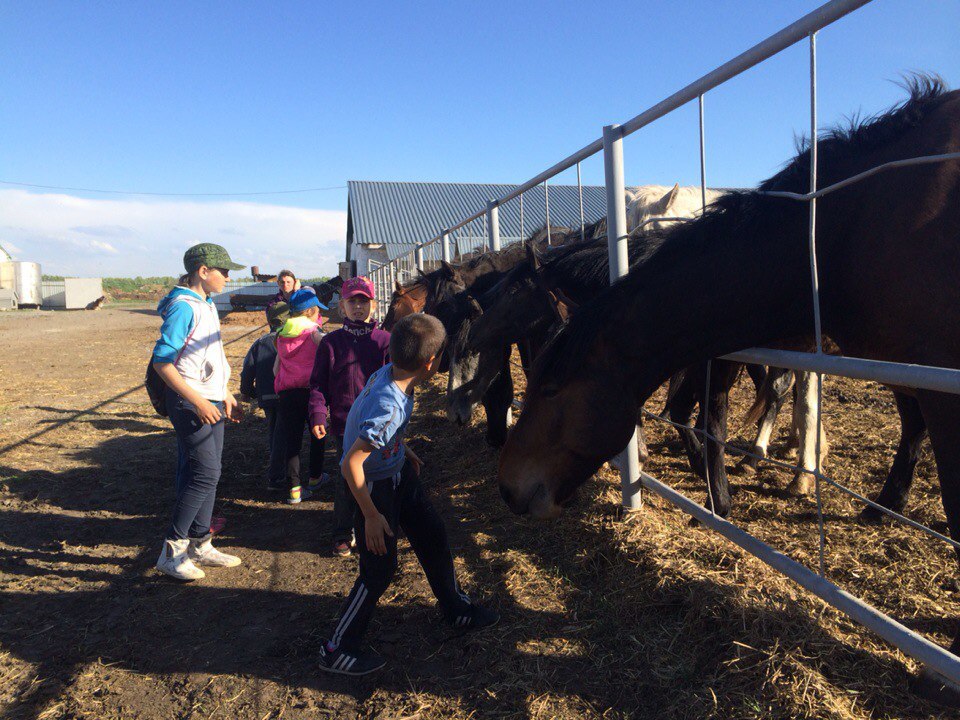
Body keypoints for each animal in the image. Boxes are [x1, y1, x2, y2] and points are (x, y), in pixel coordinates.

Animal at [498, 79, 960, 692]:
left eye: (553, 386)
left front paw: (760, 484)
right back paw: (868, 500)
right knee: (899, 427)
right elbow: (702, 412)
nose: (507, 485)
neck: (845, 225)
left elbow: (733, 414)